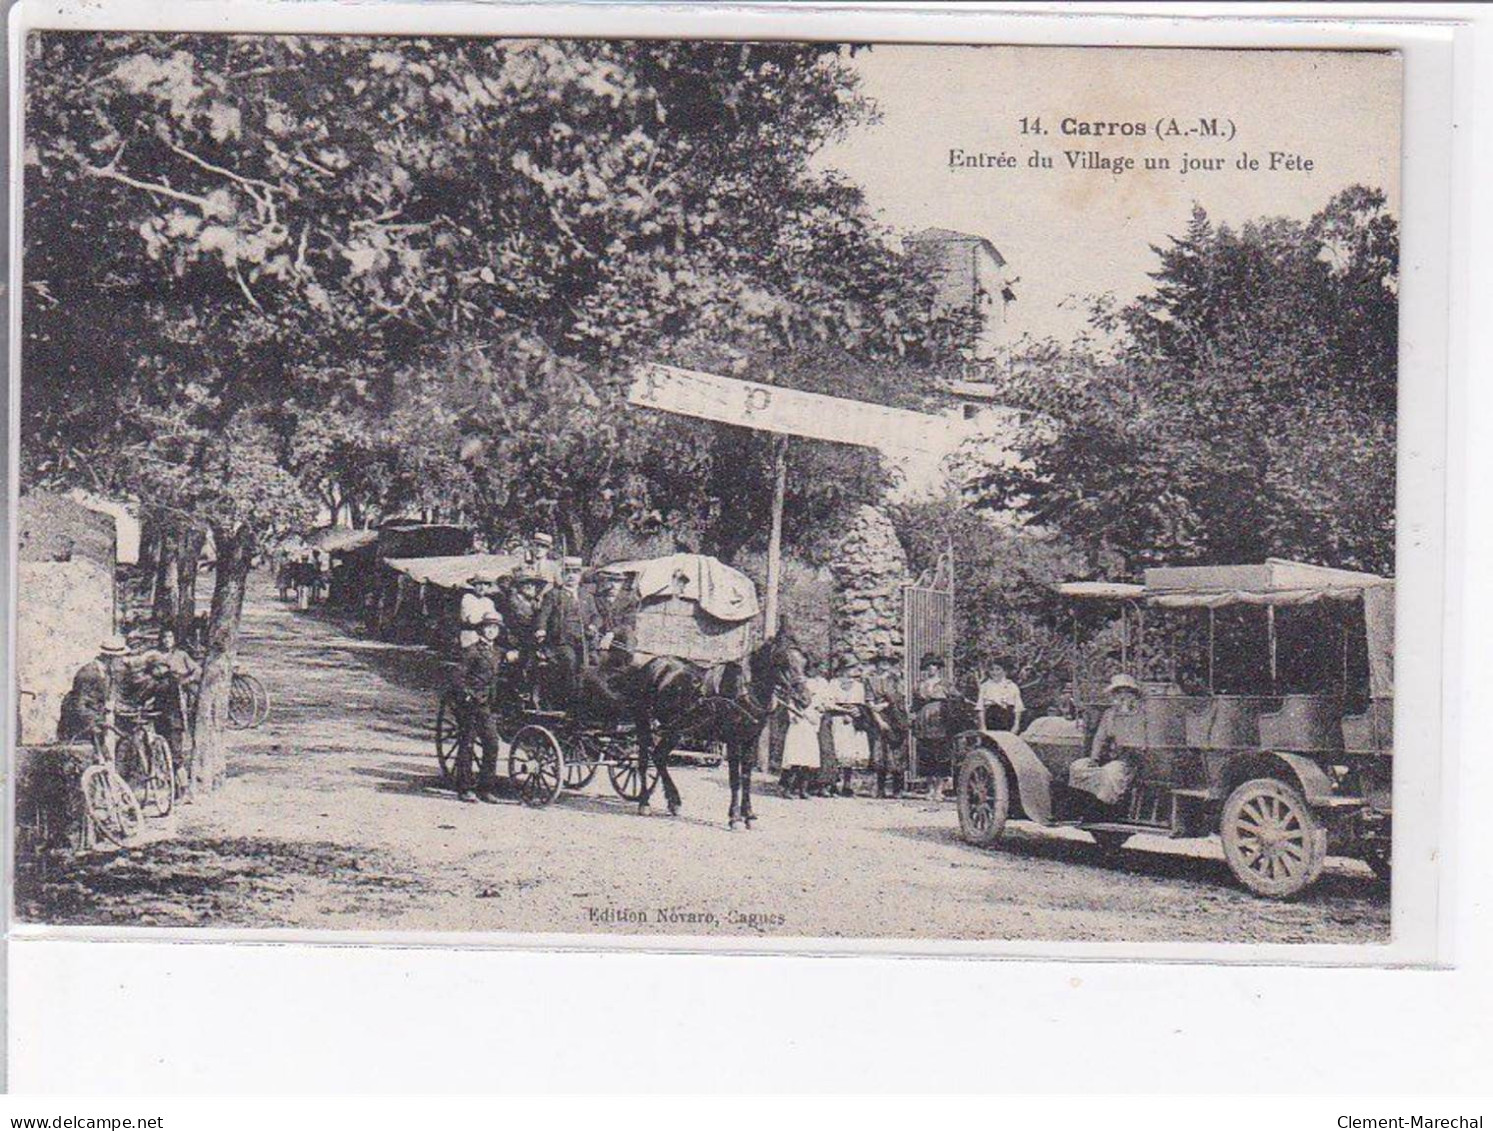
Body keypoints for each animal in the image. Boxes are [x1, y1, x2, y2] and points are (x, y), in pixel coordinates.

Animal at [585, 632, 806, 829]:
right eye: (783, 659)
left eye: (804, 661)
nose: (805, 698)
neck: (745, 688)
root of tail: (649, 666)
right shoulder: (733, 740)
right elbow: (735, 780)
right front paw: (735, 818)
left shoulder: (751, 739)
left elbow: (746, 778)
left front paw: (749, 815)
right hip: (644, 723)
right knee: (642, 761)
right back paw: (644, 803)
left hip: (675, 728)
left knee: (659, 757)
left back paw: (673, 801)